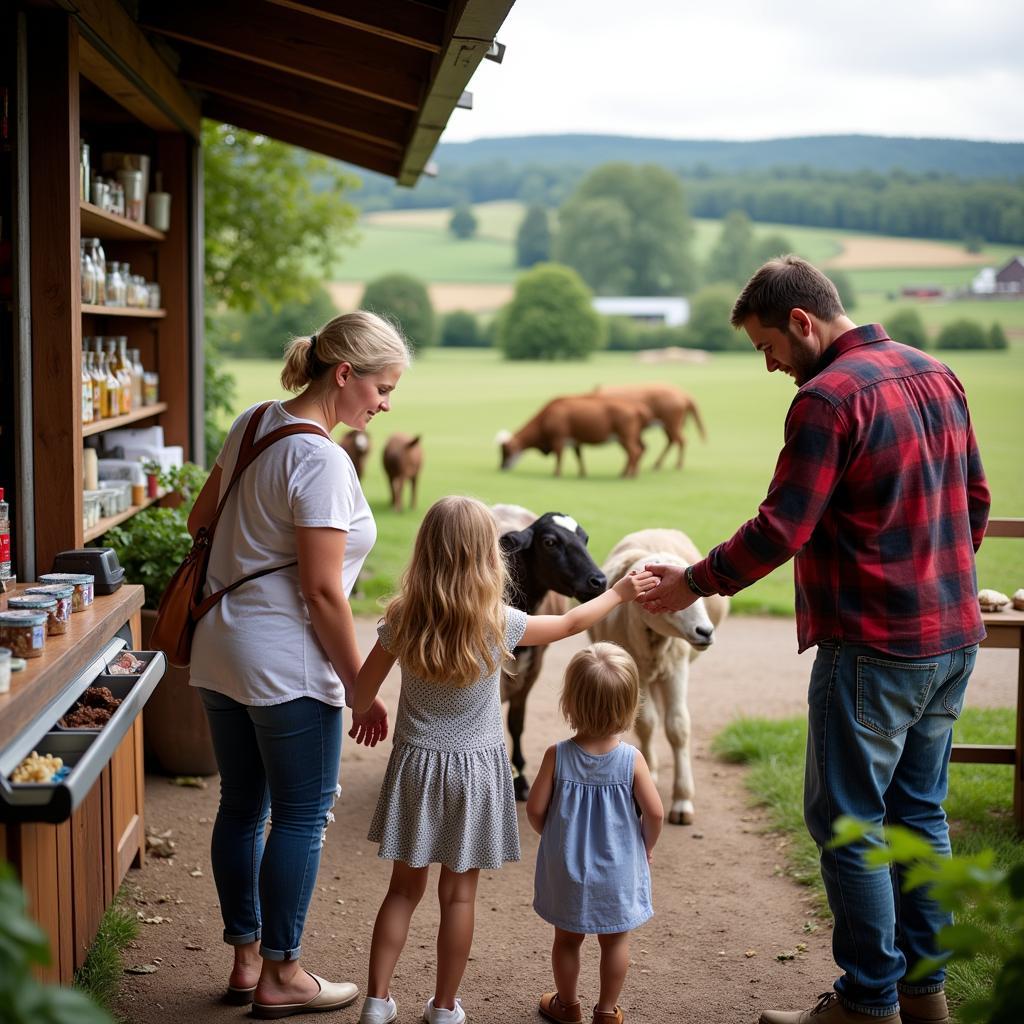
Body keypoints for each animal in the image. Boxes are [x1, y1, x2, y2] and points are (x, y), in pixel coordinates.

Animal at [489, 503, 606, 798]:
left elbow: (516, 722)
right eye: (550, 542)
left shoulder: (534, 667)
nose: (599, 581)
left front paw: (520, 777)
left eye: (585, 539)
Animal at [497, 397, 647, 481]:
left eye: (506, 452)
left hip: (625, 436)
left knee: (634, 452)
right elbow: (579, 457)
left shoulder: (558, 439)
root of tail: (636, 407)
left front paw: (556, 474)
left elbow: (559, 457)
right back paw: (625, 473)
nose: (501, 467)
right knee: (635, 452)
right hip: (626, 438)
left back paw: (629, 476)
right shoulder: (576, 441)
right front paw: (582, 474)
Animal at [589, 528, 724, 823]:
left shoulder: (677, 667)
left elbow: (678, 727)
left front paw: (683, 800)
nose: (705, 631)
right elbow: (646, 723)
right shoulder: (635, 670)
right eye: (658, 594)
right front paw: (647, 774)